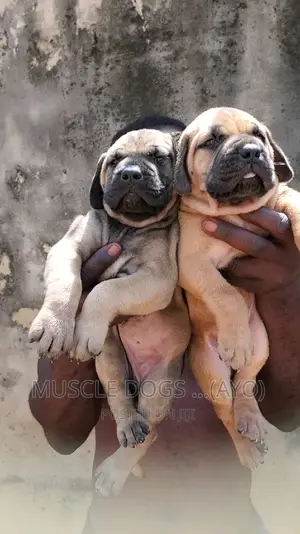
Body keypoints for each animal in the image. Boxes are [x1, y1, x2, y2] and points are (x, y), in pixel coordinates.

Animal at [29, 130, 191, 498]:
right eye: (115, 160)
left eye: (158, 157)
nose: (130, 174)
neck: (126, 228)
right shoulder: (69, 247)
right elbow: (67, 283)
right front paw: (55, 326)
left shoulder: (157, 277)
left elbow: (106, 290)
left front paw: (85, 325)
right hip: (110, 361)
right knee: (120, 400)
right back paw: (128, 426)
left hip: (160, 383)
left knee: (151, 431)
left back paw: (115, 472)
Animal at [175, 108, 298, 468]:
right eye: (212, 141)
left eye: (259, 136)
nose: (251, 152)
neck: (236, 211)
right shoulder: (191, 263)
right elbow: (225, 293)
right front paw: (234, 336)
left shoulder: (281, 199)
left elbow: (296, 204)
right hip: (212, 373)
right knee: (226, 411)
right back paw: (245, 447)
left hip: (262, 344)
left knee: (245, 383)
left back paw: (251, 417)